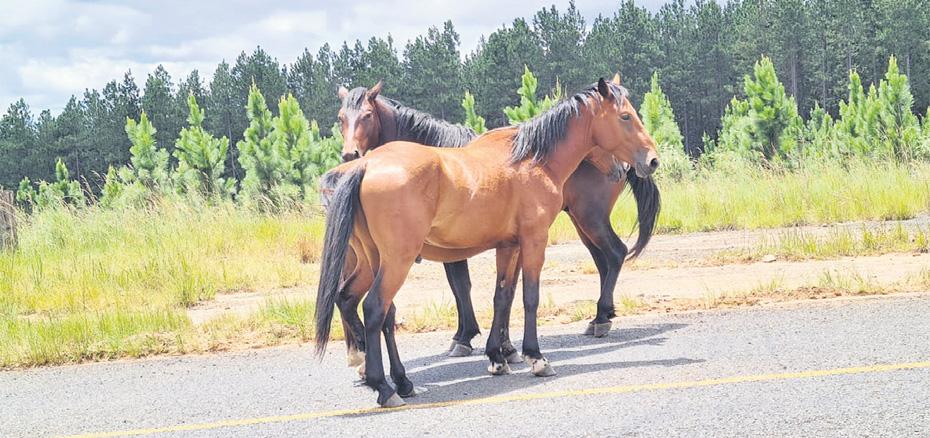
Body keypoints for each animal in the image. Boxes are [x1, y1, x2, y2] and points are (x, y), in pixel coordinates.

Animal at [315, 77, 660, 407]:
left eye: (366, 116)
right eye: (626, 116)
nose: (652, 160)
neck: (532, 160)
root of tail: (364, 165)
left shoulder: (509, 246)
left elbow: (502, 297)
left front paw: (497, 356)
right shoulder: (533, 240)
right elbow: (528, 297)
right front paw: (535, 357)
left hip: (373, 260)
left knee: (368, 306)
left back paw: (401, 382)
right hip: (397, 260)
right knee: (374, 308)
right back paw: (384, 386)